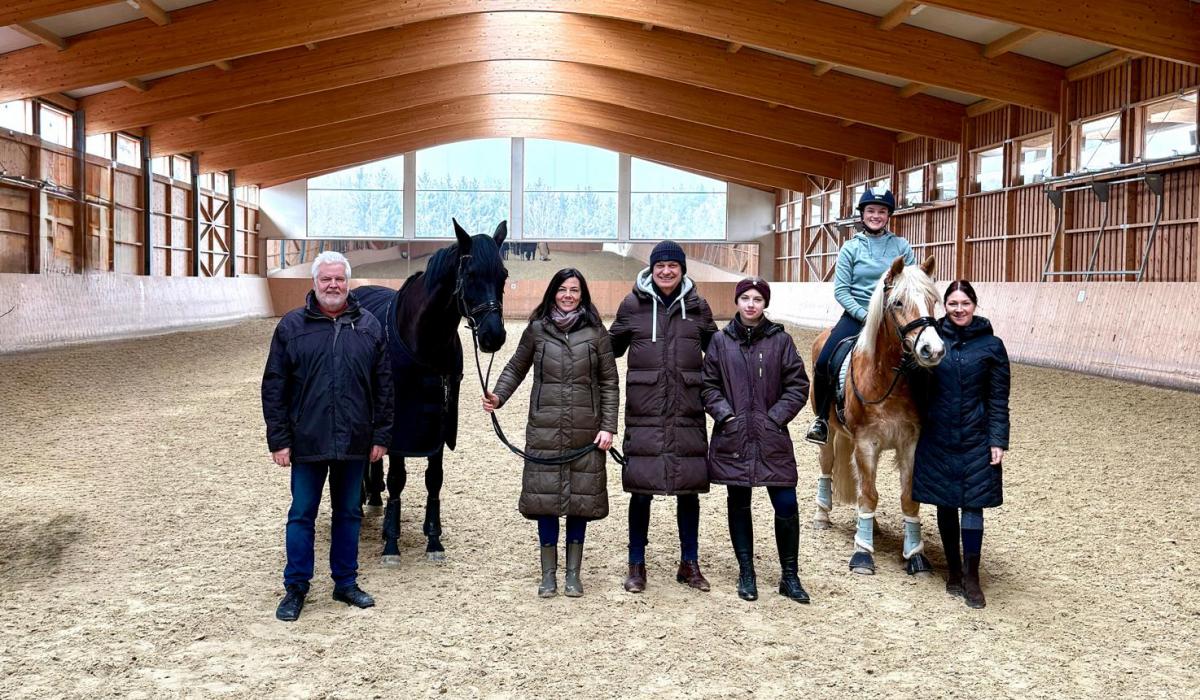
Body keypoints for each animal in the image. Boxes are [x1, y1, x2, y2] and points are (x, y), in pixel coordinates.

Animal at [356, 219, 509, 564]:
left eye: (503, 275)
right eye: (470, 274)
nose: (494, 335)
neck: (424, 340)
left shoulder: (439, 419)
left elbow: (434, 479)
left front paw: (434, 539)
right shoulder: (401, 422)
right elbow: (397, 479)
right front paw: (391, 543)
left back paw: (374, 496)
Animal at [810, 255, 945, 576]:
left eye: (932, 300)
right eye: (897, 302)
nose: (932, 349)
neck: (886, 379)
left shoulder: (909, 443)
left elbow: (907, 498)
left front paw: (915, 555)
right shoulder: (865, 443)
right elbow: (869, 496)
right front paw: (862, 554)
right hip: (828, 433)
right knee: (827, 467)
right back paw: (822, 516)